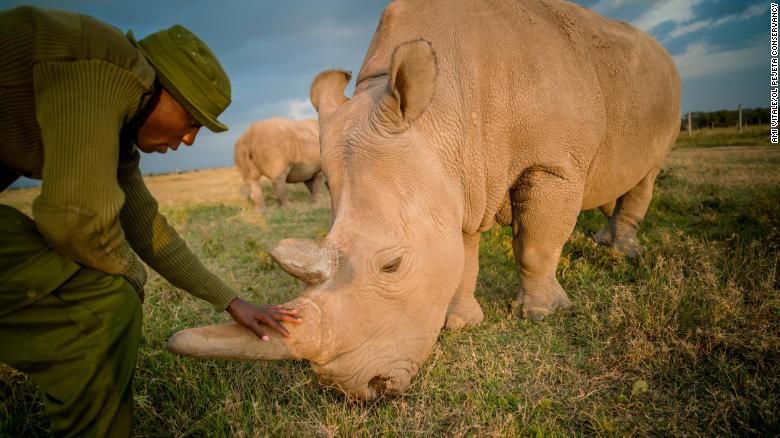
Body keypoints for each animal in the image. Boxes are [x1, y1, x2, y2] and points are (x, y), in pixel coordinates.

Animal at [168, 0, 680, 400]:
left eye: (391, 266)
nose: (363, 391)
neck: (445, 109)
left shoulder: (552, 164)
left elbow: (536, 244)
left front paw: (541, 314)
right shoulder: (461, 177)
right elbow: (461, 255)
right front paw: (461, 324)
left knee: (648, 169)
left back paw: (620, 252)